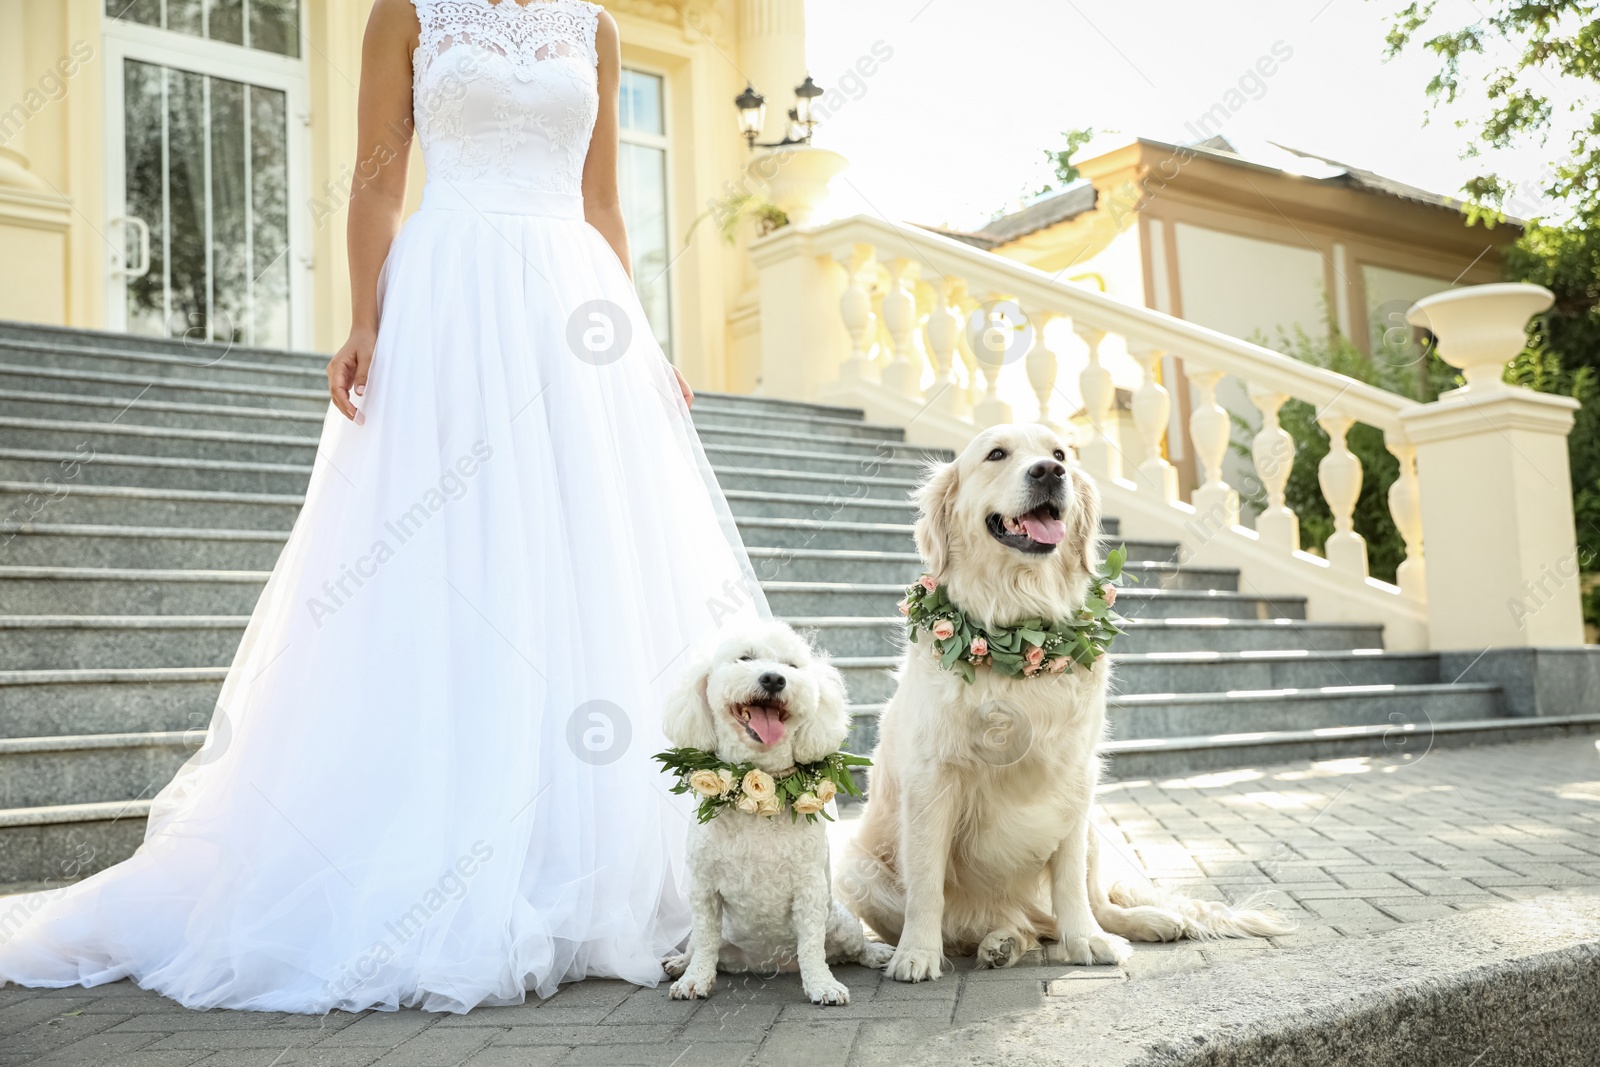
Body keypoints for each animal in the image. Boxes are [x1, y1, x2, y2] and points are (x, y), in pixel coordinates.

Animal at [656, 620, 896, 1004]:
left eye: (791, 666)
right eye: (744, 658)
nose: (773, 679)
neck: (758, 787)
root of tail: (769, 964)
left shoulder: (810, 889)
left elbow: (811, 946)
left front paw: (822, 985)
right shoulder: (703, 889)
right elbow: (705, 941)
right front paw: (694, 980)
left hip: (840, 921)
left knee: (850, 948)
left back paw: (875, 953)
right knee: (697, 945)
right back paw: (681, 962)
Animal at [832, 422, 1292, 985]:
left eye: (1059, 454)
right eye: (996, 454)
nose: (1050, 472)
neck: (1018, 628)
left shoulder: (1075, 777)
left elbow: (1071, 882)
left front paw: (1088, 941)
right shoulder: (931, 778)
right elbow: (926, 885)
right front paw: (916, 953)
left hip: (1095, 824)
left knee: (1083, 905)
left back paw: (1145, 921)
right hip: (855, 868)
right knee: (1000, 924)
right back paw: (1000, 941)